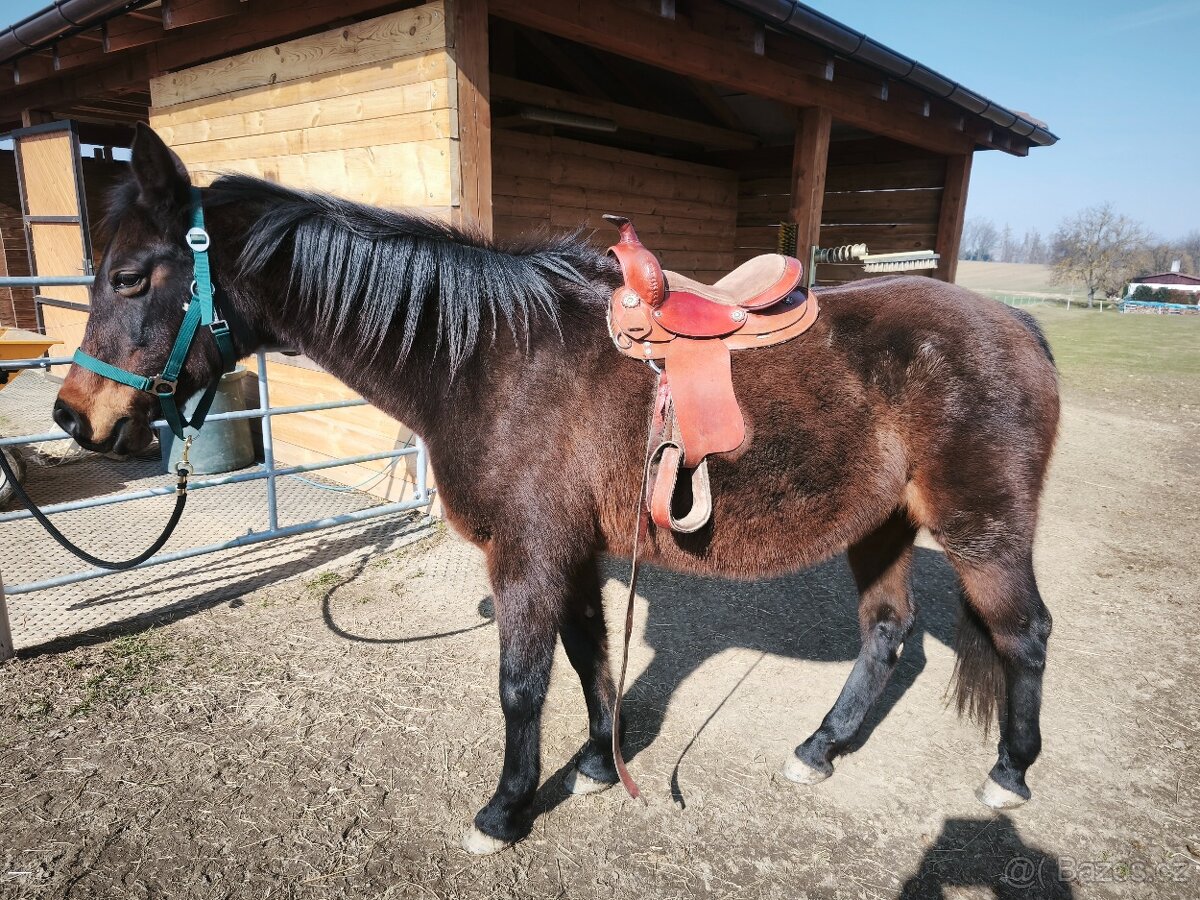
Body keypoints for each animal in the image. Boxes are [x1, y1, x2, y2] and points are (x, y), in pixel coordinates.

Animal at [53, 124, 1059, 855]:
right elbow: (587, 660)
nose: (72, 416)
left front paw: (505, 810)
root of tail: (1019, 326)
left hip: (983, 531)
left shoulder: (529, 555)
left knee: (1024, 636)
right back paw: (820, 748)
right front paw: (594, 765)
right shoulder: (570, 553)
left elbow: (520, 683)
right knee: (886, 634)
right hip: (883, 524)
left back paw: (1010, 775)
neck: (490, 360)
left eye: (130, 276)